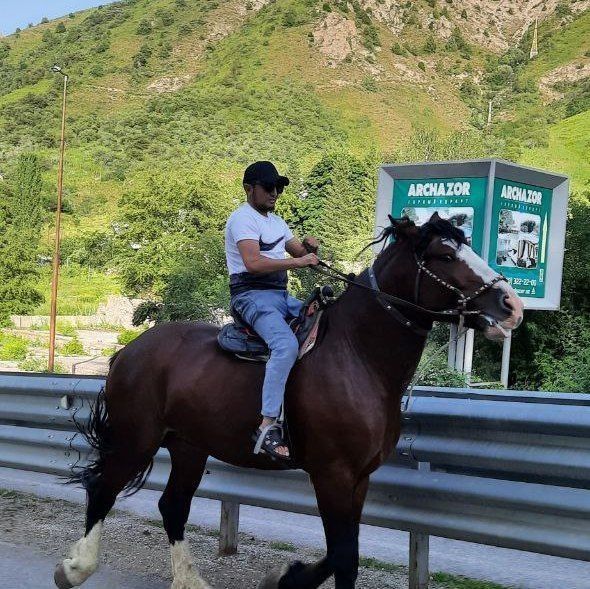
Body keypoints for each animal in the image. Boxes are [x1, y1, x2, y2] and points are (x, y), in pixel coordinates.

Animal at [55, 216, 524, 588]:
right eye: (445, 254)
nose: (512, 306)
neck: (358, 355)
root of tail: (128, 351)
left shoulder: (359, 479)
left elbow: (345, 552)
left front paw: (288, 576)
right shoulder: (332, 474)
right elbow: (342, 555)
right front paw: (287, 577)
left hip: (189, 447)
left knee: (172, 506)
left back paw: (189, 581)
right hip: (137, 439)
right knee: (103, 489)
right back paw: (75, 568)